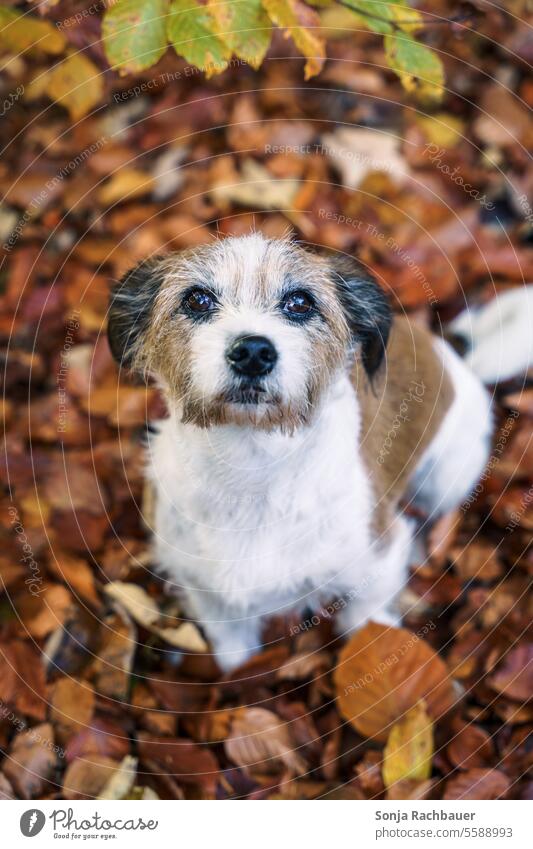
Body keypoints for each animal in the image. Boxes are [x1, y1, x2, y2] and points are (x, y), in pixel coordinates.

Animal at [107, 232, 524, 668]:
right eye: (197, 300)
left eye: (300, 302)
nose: (253, 352)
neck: (252, 466)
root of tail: (452, 356)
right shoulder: (212, 600)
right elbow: (234, 655)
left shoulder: (375, 567)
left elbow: (369, 629)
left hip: (445, 478)